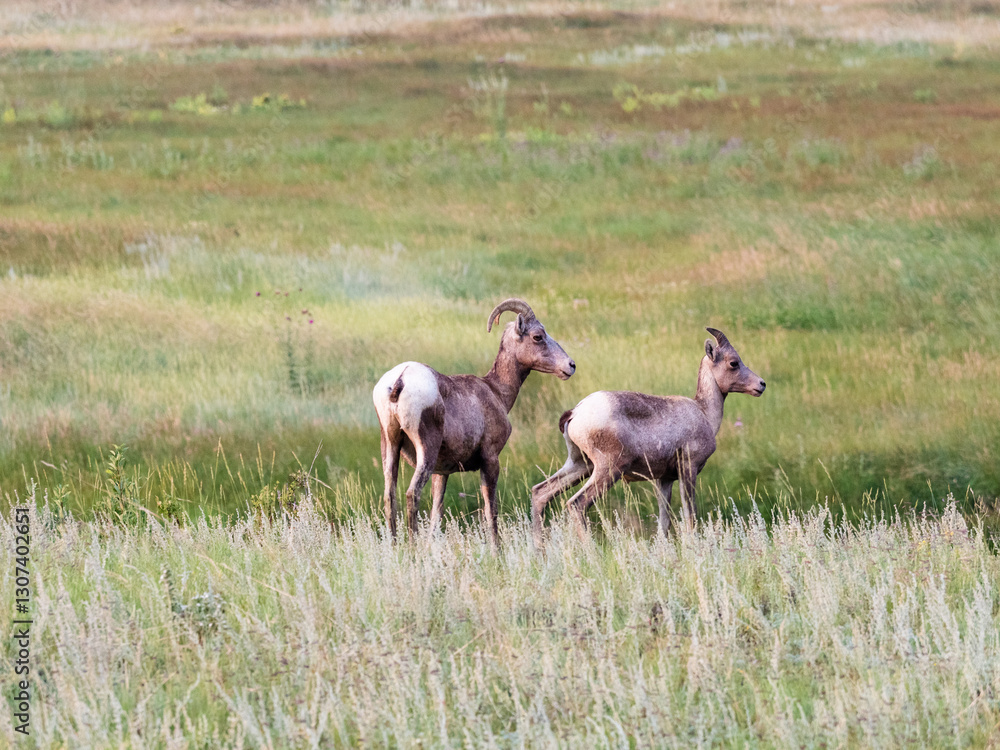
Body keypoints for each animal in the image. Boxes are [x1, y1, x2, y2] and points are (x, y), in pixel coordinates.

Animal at [373, 298, 576, 547]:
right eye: (538, 336)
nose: (570, 365)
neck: (496, 391)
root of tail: (400, 379)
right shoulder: (490, 459)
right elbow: (491, 510)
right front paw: (496, 549)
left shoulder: (442, 473)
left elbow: (436, 514)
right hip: (425, 451)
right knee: (412, 494)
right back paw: (412, 549)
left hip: (390, 444)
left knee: (389, 496)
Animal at [531, 327, 765, 540]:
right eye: (733, 363)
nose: (761, 384)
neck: (704, 412)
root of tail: (576, 412)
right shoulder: (688, 470)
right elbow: (690, 518)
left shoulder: (665, 480)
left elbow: (664, 523)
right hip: (607, 470)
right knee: (576, 504)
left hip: (580, 466)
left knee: (540, 493)